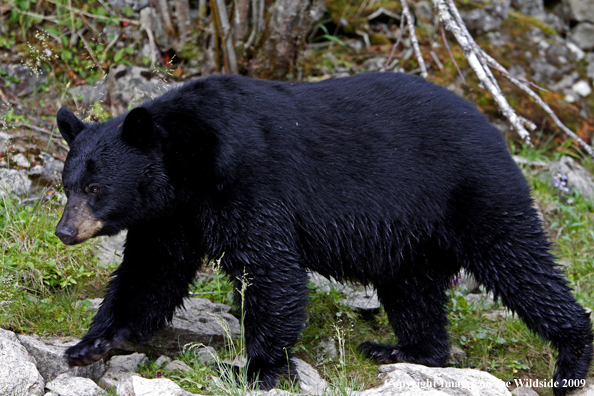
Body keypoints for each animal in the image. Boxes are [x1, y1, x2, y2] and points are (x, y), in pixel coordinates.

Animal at [54, 73, 588, 392]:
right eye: (67, 184)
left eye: (96, 188)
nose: (64, 230)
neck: (192, 161)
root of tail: (494, 128)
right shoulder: (170, 216)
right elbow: (150, 274)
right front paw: (91, 346)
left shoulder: (249, 184)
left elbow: (272, 272)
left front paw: (256, 368)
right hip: (411, 239)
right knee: (413, 290)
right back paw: (406, 349)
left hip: (474, 196)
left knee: (519, 264)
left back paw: (572, 356)